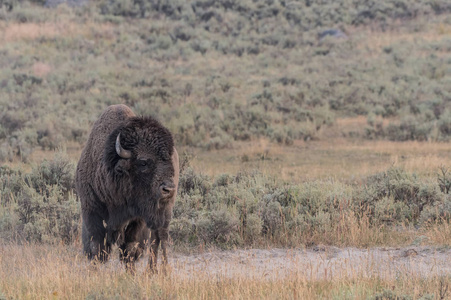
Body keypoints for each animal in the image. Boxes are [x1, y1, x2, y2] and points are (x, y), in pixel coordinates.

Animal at [75, 105, 179, 272]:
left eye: (168, 160)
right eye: (143, 162)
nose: (168, 189)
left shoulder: (137, 219)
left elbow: (129, 248)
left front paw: (130, 273)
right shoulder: (90, 210)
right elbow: (96, 245)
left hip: (164, 212)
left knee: (159, 237)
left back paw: (158, 271)